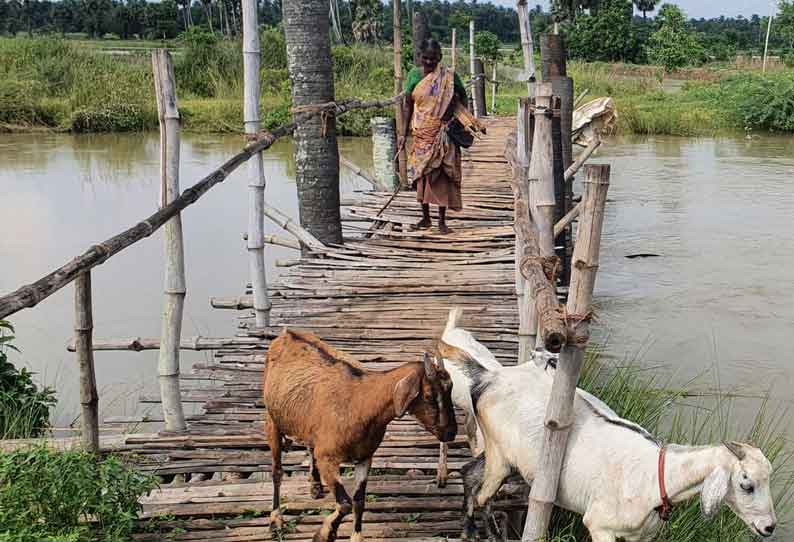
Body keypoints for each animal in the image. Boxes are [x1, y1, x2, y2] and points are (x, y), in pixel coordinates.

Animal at [262, 330, 454, 542]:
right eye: (428, 395)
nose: (450, 432)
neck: (361, 403)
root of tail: (287, 333)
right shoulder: (328, 458)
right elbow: (345, 503)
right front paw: (324, 534)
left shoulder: (364, 457)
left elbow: (359, 500)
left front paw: (354, 535)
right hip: (272, 420)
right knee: (277, 471)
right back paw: (276, 520)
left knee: (309, 447)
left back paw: (315, 486)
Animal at [434, 312, 772, 542]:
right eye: (746, 484)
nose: (769, 527)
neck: (657, 477)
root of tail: (489, 377)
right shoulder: (599, 525)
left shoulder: (642, 536)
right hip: (500, 456)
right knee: (483, 496)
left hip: (502, 456)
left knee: (470, 474)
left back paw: (468, 531)